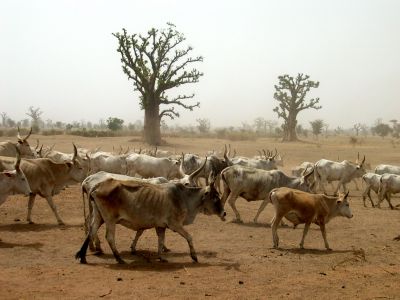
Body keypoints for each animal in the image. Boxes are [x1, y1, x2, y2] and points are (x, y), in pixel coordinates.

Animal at [74, 179, 225, 264]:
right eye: (215, 197)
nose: (224, 213)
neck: (183, 198)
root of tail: (97, 186)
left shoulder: (161, 226)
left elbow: (161, 241)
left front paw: (161, 257)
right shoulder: (175, 224)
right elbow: (189, 237)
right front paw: (194, 257)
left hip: (99, 216)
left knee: (91, 232)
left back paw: (83, 257)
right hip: (110, 219)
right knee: (109, 237)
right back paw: (119, 259)